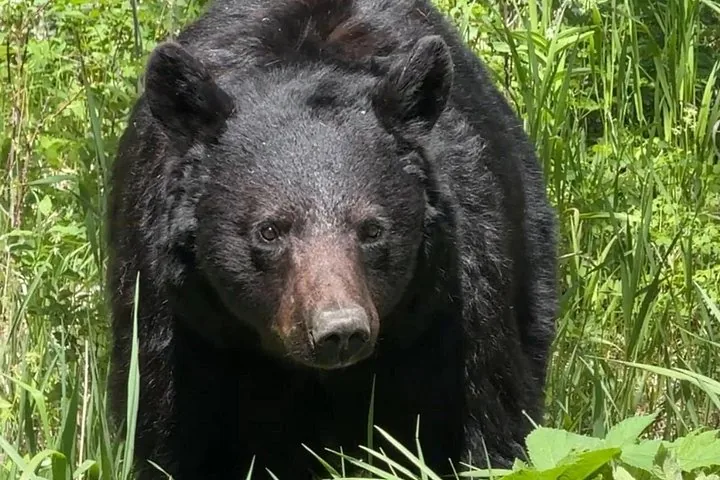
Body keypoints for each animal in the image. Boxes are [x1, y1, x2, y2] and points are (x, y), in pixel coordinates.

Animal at [105, 0, 558, 478]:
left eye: (372, 229)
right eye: (270, 230)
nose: (339, 331)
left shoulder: (451, 308)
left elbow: (481, 426)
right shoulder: (180, 322)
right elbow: (175, 434)